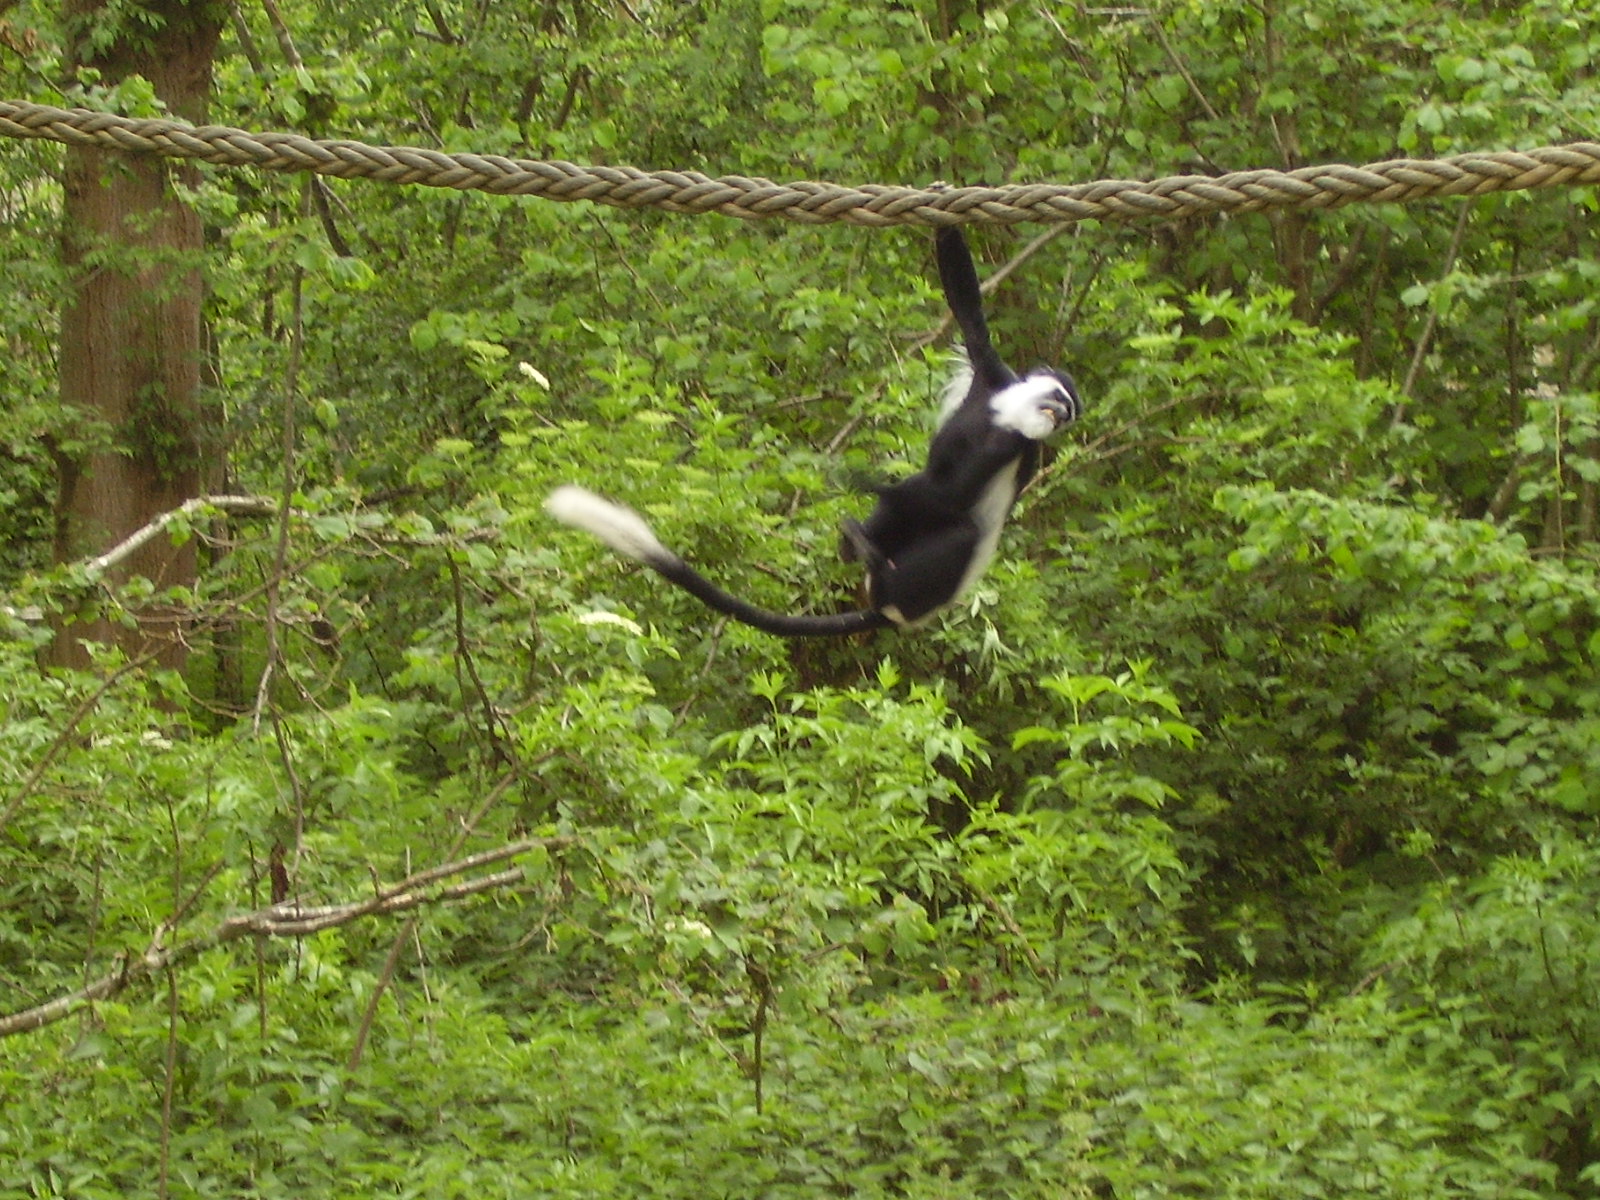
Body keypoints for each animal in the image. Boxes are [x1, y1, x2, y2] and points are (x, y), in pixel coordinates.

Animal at [545, 226, 1081, 638]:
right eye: (1060, 401)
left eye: (1067, 415)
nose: (1058, 418)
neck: (1005, 415)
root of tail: (893, 612)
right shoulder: (993, 373)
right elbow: (965, 301)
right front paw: (943, 204)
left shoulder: (1012, 444)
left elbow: (948, 495)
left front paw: (864, 480)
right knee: (908, 514)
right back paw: (857, 545)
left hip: (922, 585)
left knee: (959, 528)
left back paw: (878, 572)